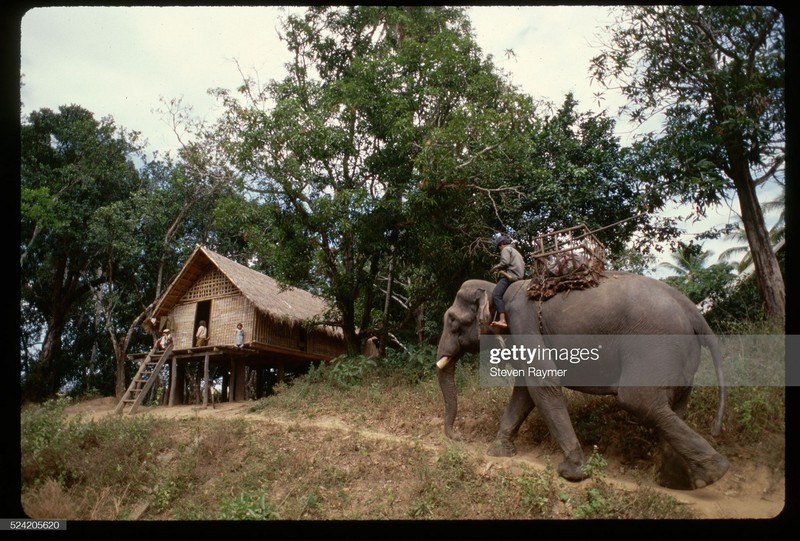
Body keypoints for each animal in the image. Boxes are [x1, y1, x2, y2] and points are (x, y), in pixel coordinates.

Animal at [438, 270, 732, 490]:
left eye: (452, 321)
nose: (459, 437)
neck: (499, 289)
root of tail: (694, 311)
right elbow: (525, 391)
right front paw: (498, 452)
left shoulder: (523, 321)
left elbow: (542, 383)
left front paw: (573, 473)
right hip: (680, 358)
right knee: (673, 406)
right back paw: (680, 482)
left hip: (655, 346)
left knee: (638, 400)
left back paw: (713, 473)